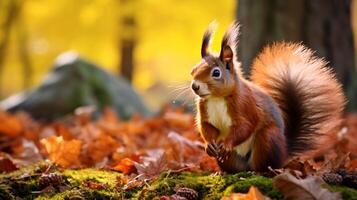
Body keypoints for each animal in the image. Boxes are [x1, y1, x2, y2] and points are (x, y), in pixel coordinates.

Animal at [192, 21, 344, 172]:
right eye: (193, 69)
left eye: (216, 73)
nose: (195, 86)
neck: (216, 98)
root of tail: (284, 153)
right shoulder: (204, 108)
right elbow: (206, 126)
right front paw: (209, 145)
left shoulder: (245, 104)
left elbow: (245, 126)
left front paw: (226, 145)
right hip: (233, 159)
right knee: (238, 167)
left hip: (267, 139)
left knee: (262, 164)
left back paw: (261, 170)